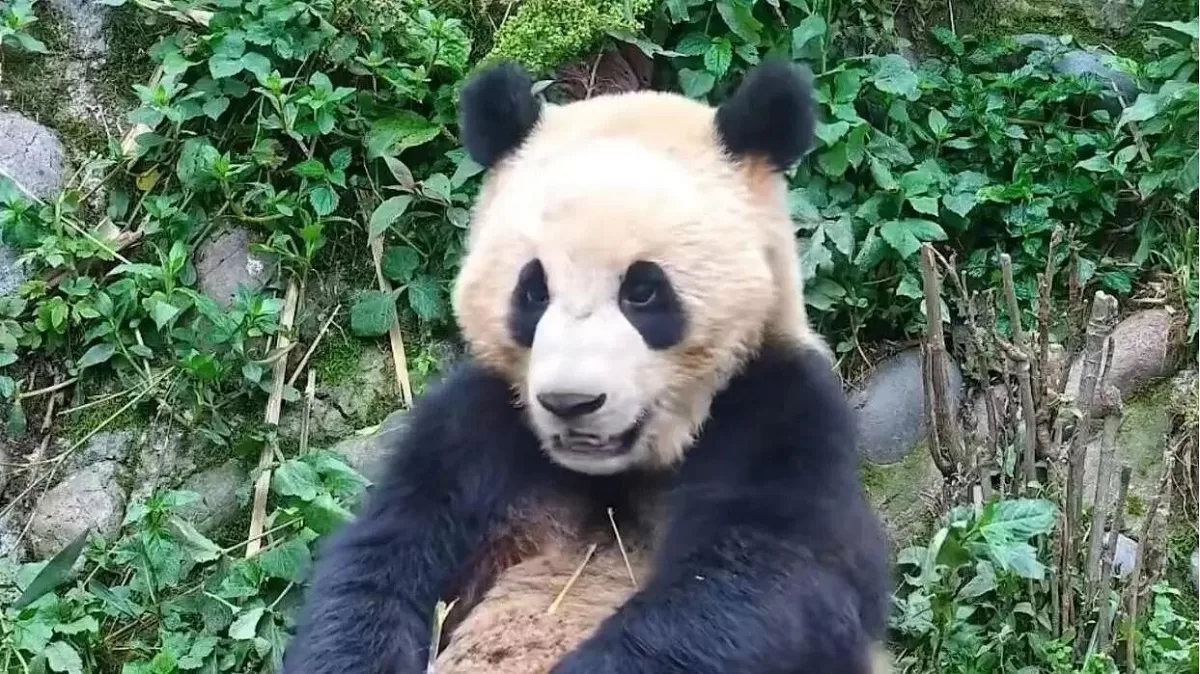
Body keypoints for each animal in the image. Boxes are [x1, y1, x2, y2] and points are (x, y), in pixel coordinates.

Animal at [281, 59, 892, 674]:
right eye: (532, 290)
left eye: (643, 291)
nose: (570, 402)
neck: (614, 472)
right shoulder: (478, 430)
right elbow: (382, 559)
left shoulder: (780, 413)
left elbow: (763, 581)